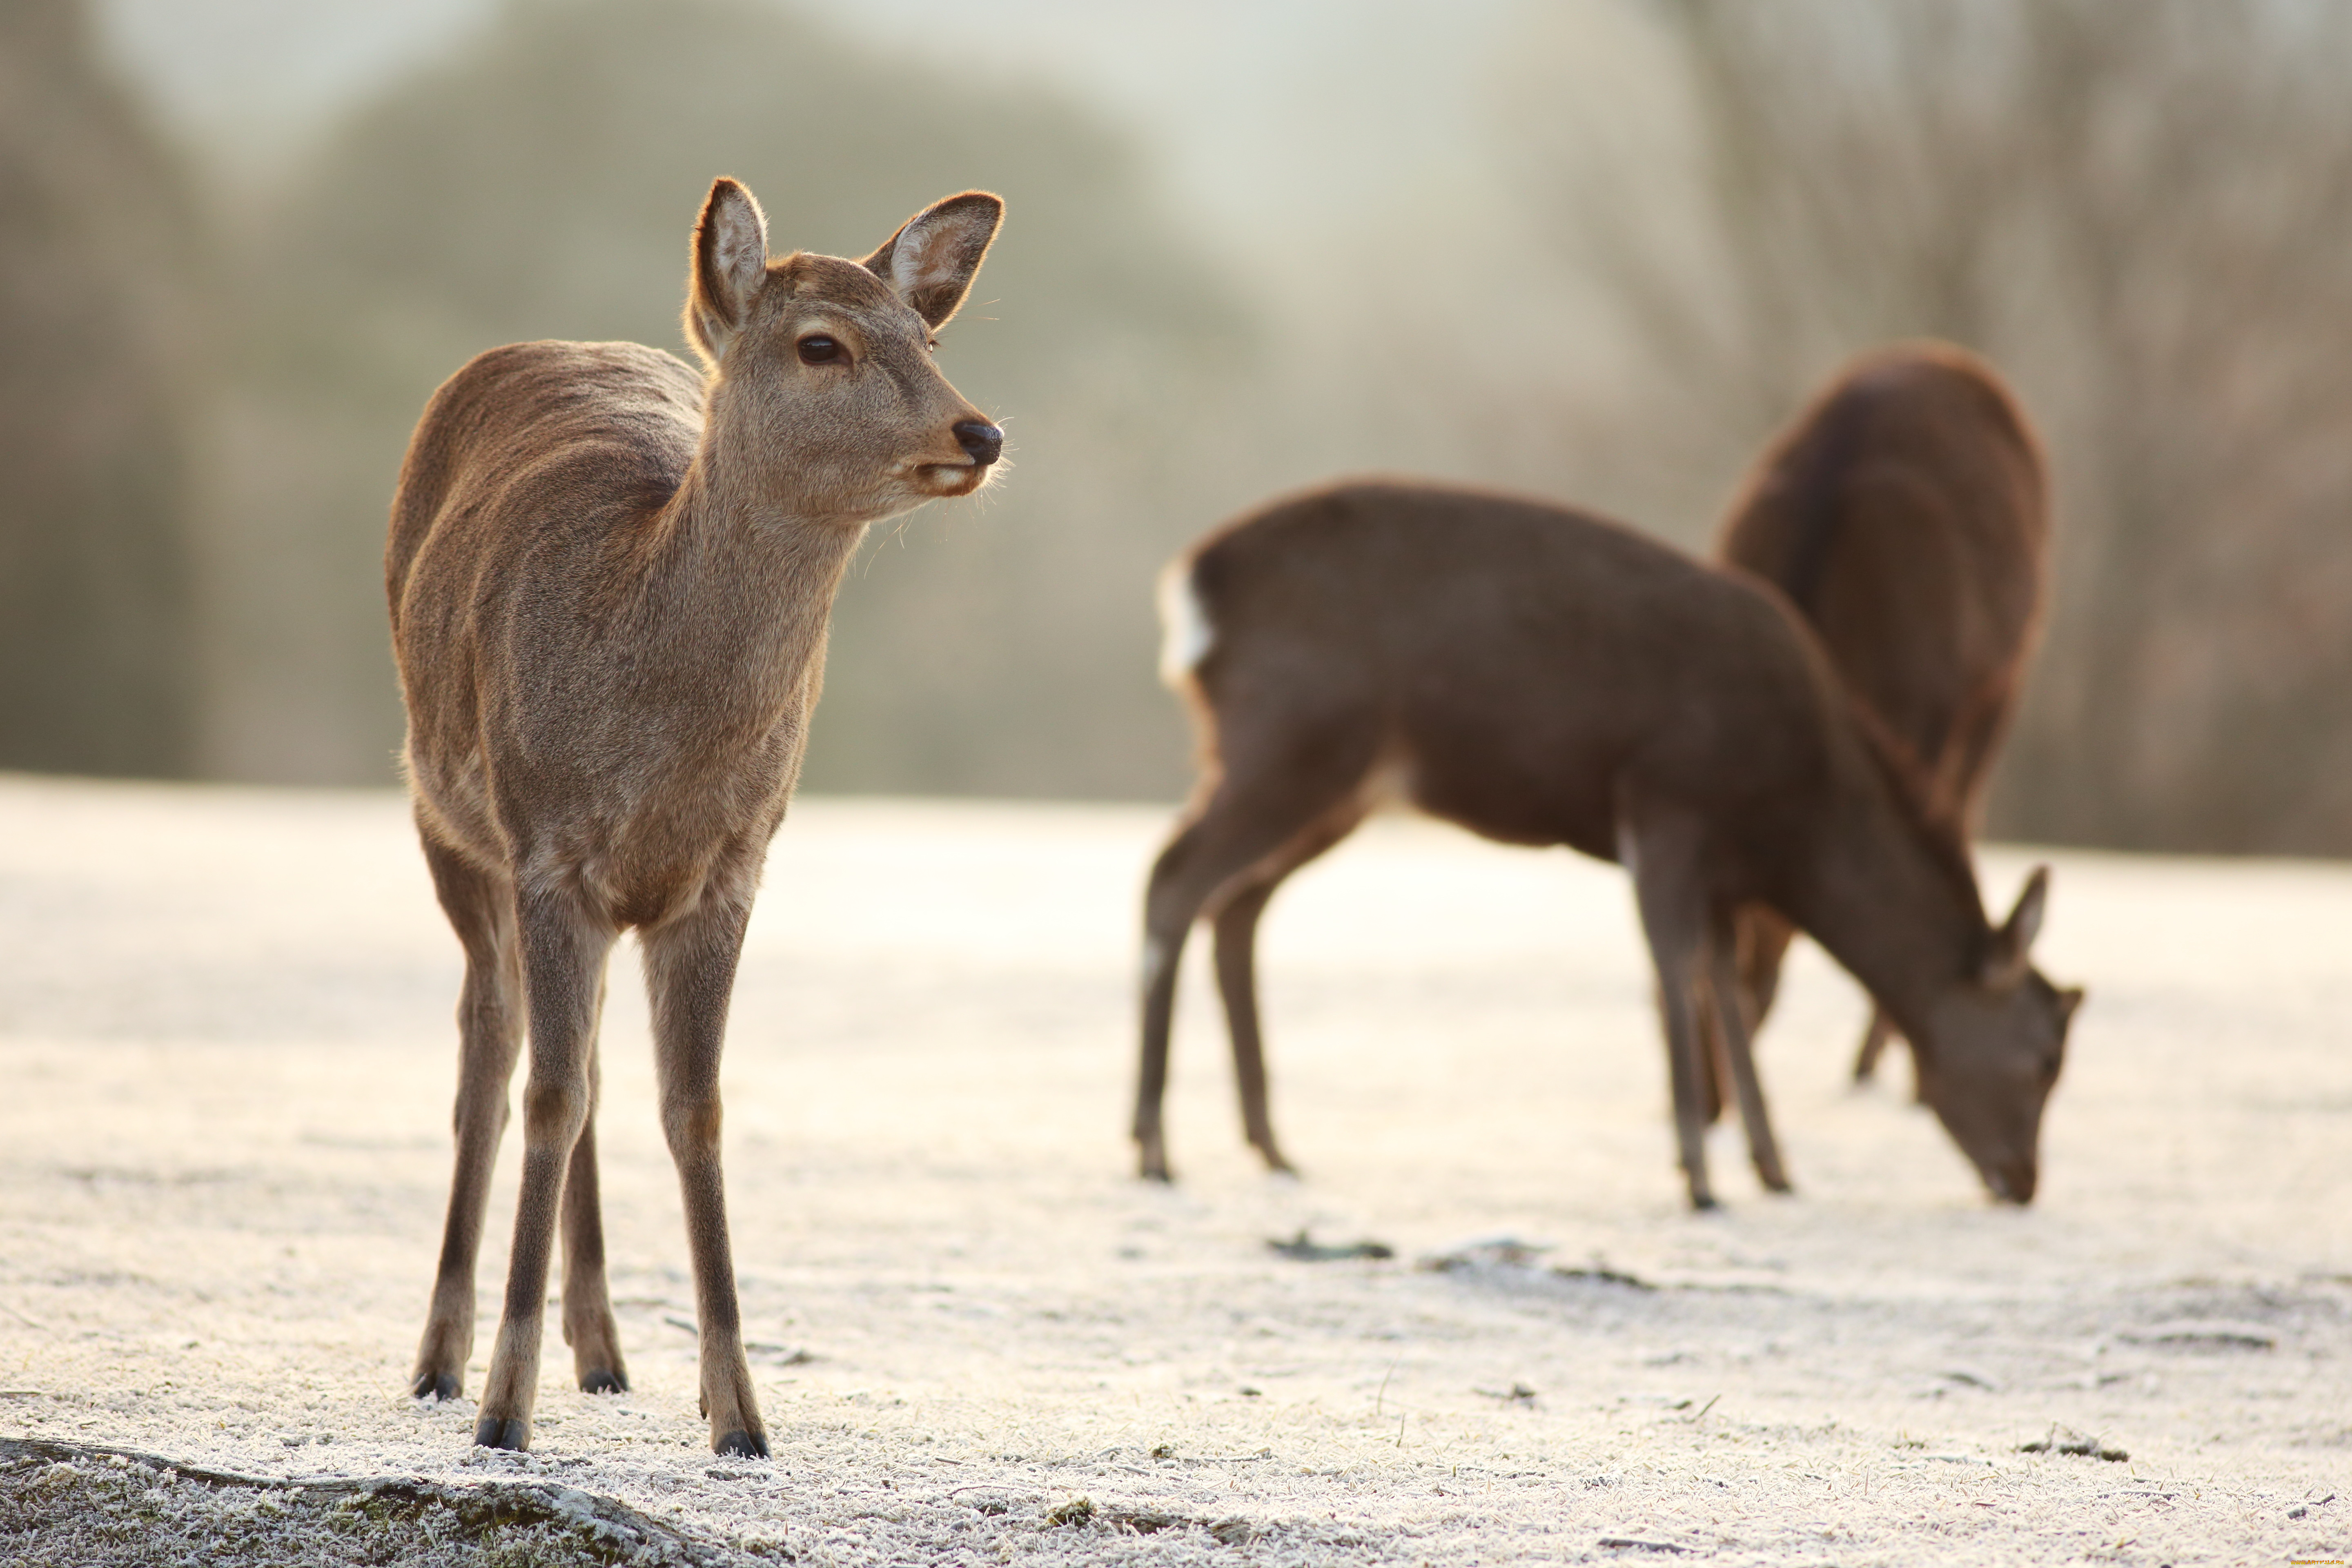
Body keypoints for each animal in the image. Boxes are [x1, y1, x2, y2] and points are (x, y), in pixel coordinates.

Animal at [383, 175, 1002, 1457]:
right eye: (821, 344)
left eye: (929, 339)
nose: (979, 434)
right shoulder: (549, 848)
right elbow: (547, 1096)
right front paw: (505, 1412)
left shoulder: (732, 867)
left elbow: (696, 1108)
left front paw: (741, 1414)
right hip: (442, 813)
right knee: (492, 1053)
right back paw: (441, 1359)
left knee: (582, 1059)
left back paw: (605, 1351)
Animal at [1134, 479, 2079, 1213]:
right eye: (2043, 1059)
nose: (2025, 1181)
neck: (1793, 817)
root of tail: (1192, 586)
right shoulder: (1666, 803)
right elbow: (1674, 971)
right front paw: (1699, 1178)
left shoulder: (1721, 872)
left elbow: (1721, 985)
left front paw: (1773, 1168)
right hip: (1294, 738)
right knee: (1174, 879)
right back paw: (1153, 1148)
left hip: (1334, 784)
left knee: (1236, 907)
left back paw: (1270, 1144)